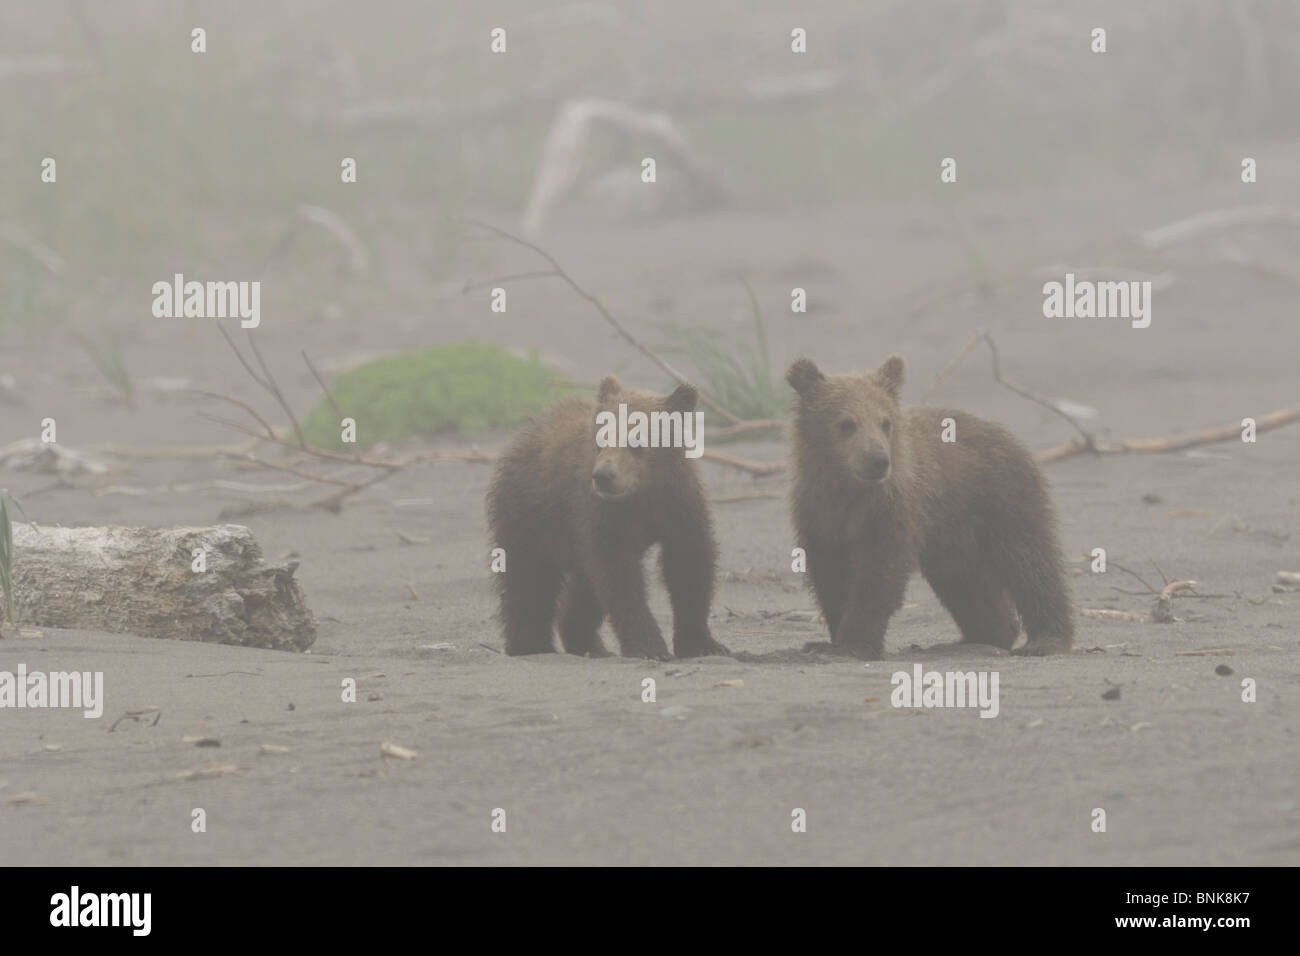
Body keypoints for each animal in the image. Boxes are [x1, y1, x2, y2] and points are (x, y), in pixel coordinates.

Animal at [486, 375, 729, 660]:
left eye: (636, 441)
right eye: (601, 439)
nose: (604, 476)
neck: (643, 494)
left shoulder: (678, 504)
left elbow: (689, 565)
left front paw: (703, 644)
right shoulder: (604, 514)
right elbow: (619, 576)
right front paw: (650, 647)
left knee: (583, 586)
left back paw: (589, 645)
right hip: (530, 514)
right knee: (528, 580)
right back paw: (531, 644)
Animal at [785, 354, 1074, 659]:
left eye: (885, 422)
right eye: (847, 423)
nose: (878, 460)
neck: (848, 490)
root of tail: (1006, 433)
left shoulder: (892, 512)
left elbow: (878, 574)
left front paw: (855, 643)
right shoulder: (818, 517)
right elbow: (829, 577)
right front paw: (826, 642)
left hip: (1002, 499)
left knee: (1030, 563)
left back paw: (1046, 639)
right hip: (955, 535)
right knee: (968, 583)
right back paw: (982, 635)